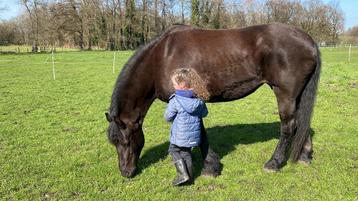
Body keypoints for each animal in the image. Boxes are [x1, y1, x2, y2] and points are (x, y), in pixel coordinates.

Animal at [105, 23, 320, 177]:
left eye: (125, 141)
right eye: (114, 143)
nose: (125, 172)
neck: (161, 58)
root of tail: (308, 40)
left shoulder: (189, 102)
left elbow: (200, 134)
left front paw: (210, 167)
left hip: (284, 93)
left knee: (289, 126)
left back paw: (274, 163)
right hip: (296, 95)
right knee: (302, 122)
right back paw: (304, 156)